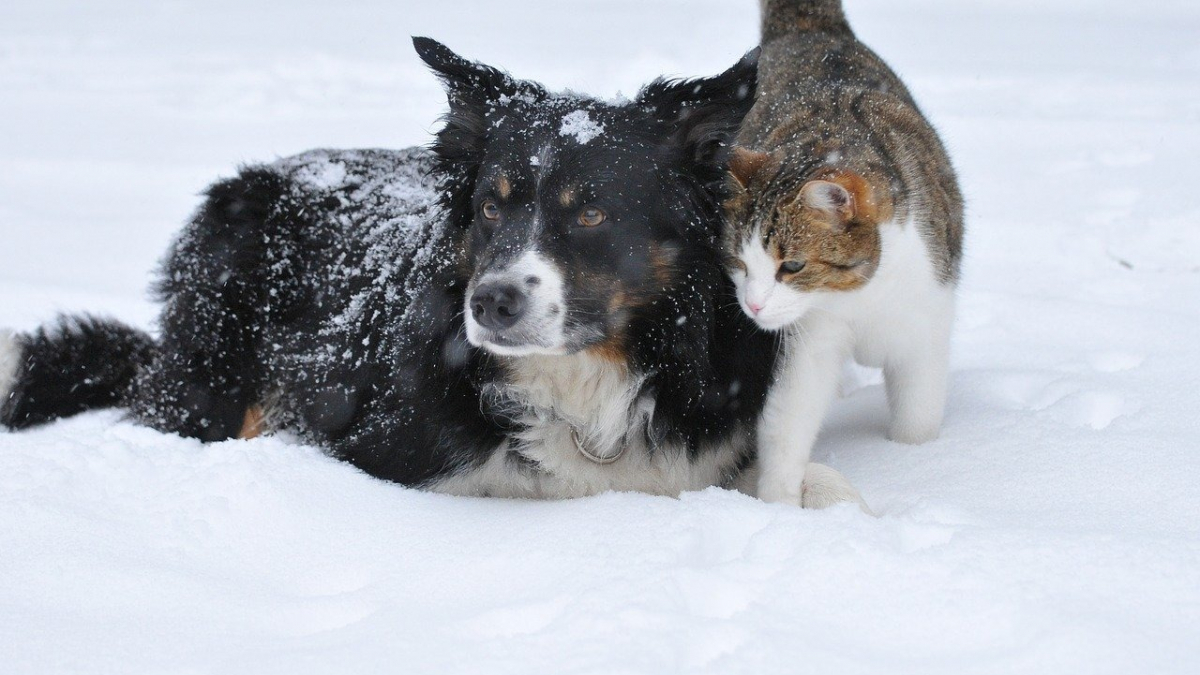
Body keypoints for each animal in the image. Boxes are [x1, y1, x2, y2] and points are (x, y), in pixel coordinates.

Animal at [0, 36, 864, 502]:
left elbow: (804, 480)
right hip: (216, 364)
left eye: (592, 212)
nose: (492, 303)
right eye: (490, 206)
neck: (583, 386)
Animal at [720, 0, 964, 504]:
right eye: (739, 262)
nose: (753, 306)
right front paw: (778, 503)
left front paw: (918, 463)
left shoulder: (925, 321)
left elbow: (918, 416)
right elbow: (788, 418)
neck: (861, 294)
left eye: (792, 266)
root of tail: (811, 30)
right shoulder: (809, 338)